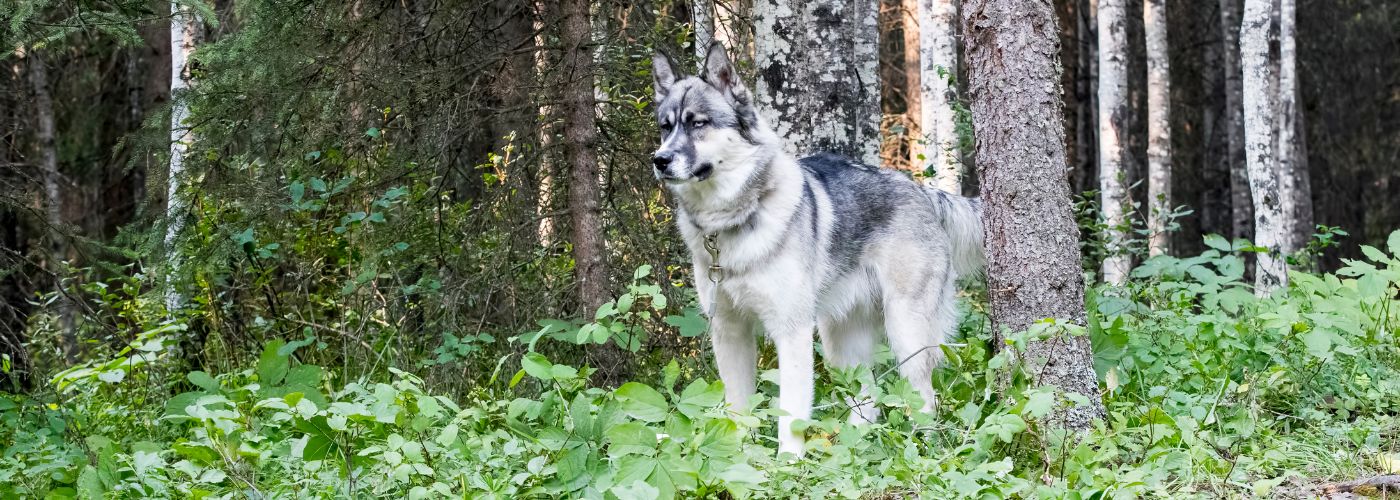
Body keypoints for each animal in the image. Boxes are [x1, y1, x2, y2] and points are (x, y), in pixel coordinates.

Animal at [649, 43, 980, 456]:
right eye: (666, 126)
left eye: (698, 123)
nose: (660, 160)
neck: (732, 221)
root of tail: (921, 190)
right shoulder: (729, 330)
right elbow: (737, 410)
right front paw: (737, 456)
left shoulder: (791, 332)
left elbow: (790, 413)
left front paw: (787, 462)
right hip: (841, 343)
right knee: (867, 400)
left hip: (906, 333)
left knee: (925, 399)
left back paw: (925, 449)